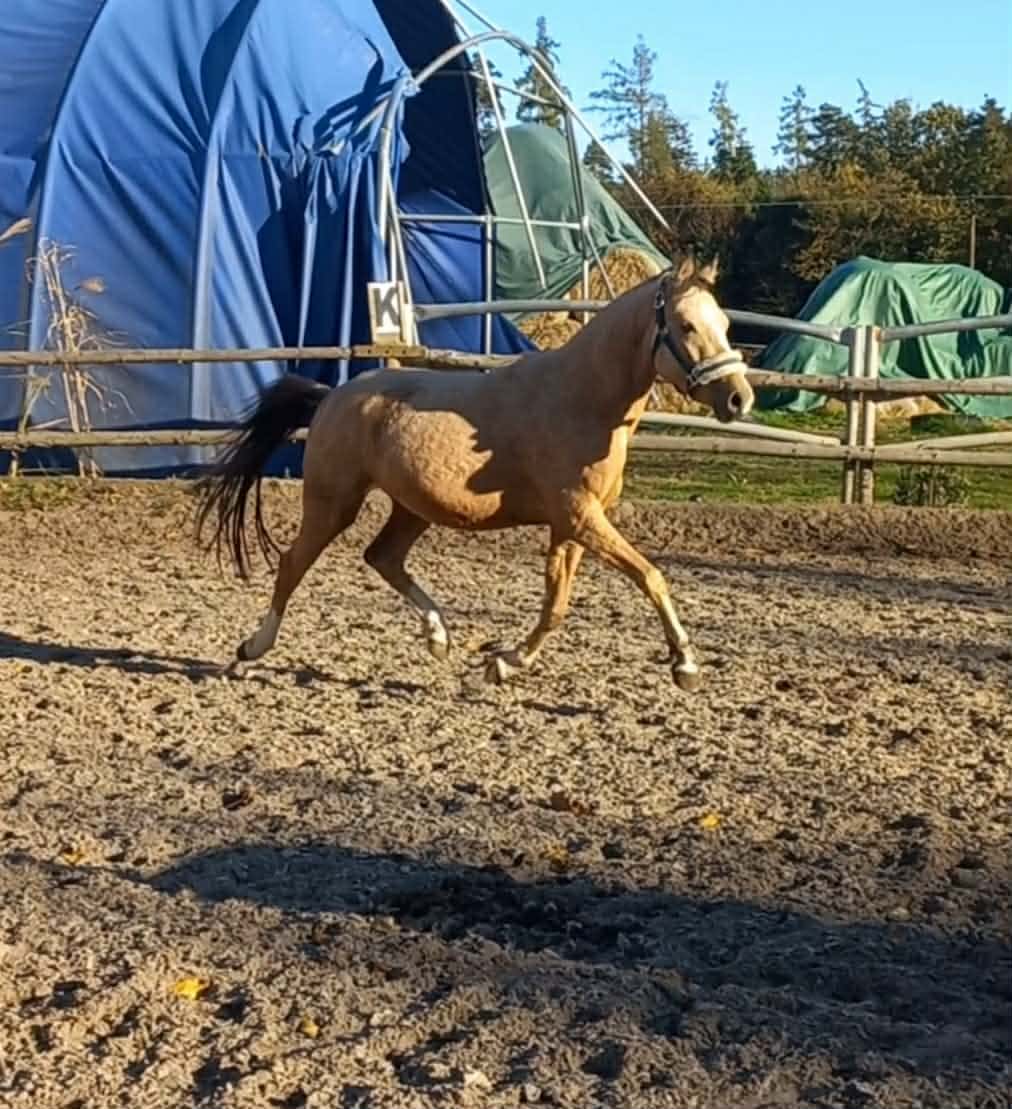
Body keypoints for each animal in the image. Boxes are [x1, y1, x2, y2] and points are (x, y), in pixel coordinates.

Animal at [195, 253, 754, 691]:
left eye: (725, 326)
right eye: (686, 326)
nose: (738, 398)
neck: (580, 398)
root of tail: (331, 395)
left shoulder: (572, 525)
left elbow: (556, 604)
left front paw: (502, 665)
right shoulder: (581, 517)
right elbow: (650, 575)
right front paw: (685, 665)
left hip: (413, 508)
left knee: (382, 557)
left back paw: (439, 636)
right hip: (333, 501)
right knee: (294, 563)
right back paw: (249, 651)